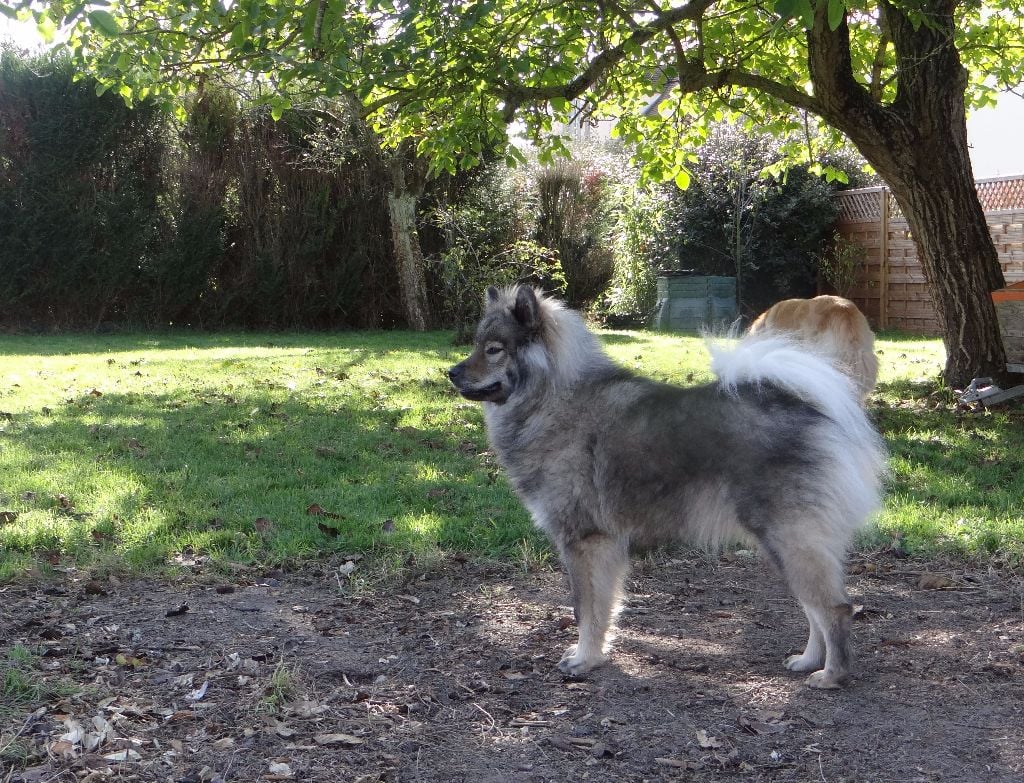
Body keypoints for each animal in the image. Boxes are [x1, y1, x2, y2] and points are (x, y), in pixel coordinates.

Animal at [450, 284, 888, 687]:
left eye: (493, 349)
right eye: (477, 345)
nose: (451, 372)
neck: (550, 397)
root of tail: (809, 408)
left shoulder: (584, 541)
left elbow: (586, 609)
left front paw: (582, 660)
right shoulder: (605, 548)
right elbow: (603, 609)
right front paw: (595, 656)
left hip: (791, 539)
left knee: (833, 609)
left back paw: (831, 675)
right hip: (786, 544)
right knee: (814, 609)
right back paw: (808, 661)